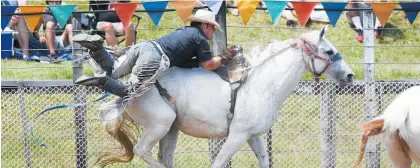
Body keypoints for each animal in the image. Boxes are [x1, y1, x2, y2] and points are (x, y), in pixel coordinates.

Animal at [94, 25, 354, 167]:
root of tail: (129, 90)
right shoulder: (237, 136)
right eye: (329, 51)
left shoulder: (253, 136)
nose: (350, 75)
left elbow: (264, 160)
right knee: (142, 151)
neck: (260, 85)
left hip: (170, 129)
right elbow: (219, 162)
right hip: (161, 123)